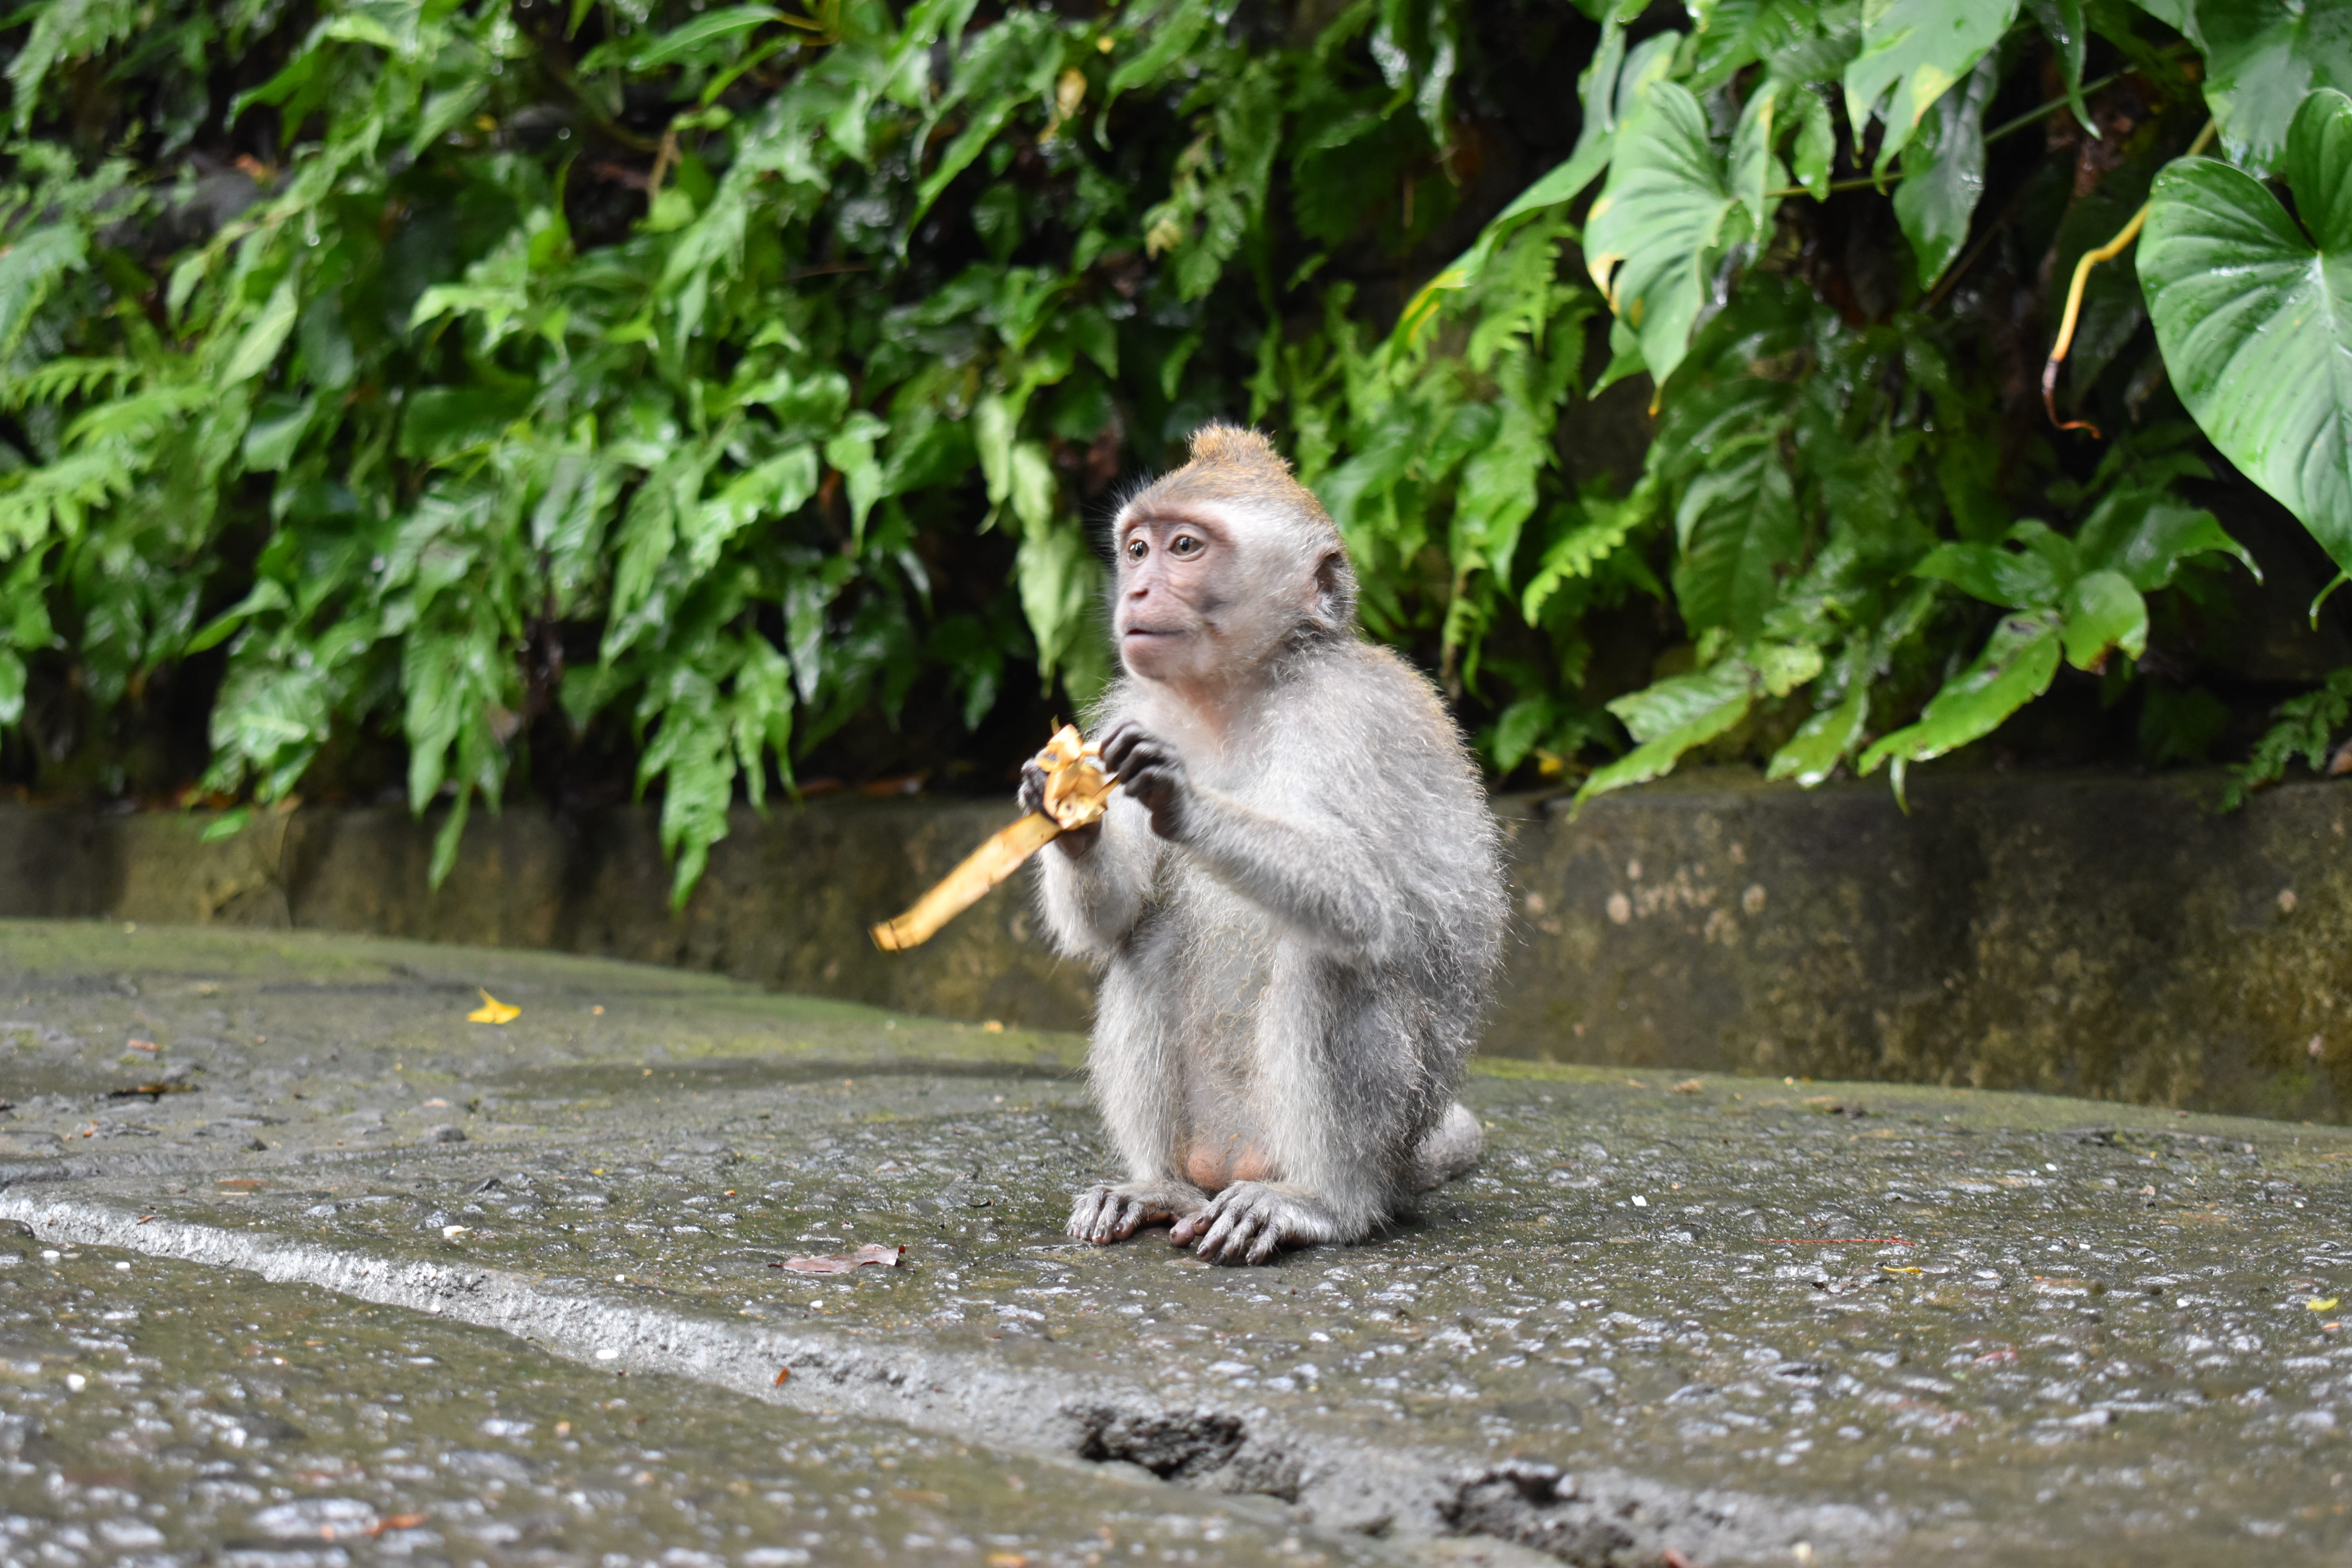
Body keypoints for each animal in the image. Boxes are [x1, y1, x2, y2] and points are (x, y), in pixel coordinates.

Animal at [1017, 423, 1507, 1265]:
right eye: (1137, 550)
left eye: (1185, 546)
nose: (1136, 592)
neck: (1236, 694)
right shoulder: (1138, 704)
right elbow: (1114, 922)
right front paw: (1068, 805)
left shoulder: (1348, 716)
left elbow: (1363, 899)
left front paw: (1182, 797)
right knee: (1149, 941)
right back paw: (1159, 1187)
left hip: (1381, 1130)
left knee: (1332, 957)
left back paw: (1324, 1205)